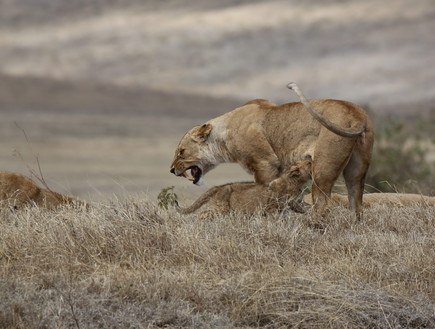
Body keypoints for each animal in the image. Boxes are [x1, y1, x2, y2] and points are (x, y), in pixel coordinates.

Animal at [177, 159, 314, 218]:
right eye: (308, 163)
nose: (311, 158)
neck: (297, 183)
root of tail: (217, 187)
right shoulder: (272, 207)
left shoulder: (297, 203)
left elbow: (307, 208)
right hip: (221, 209)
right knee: (203, 213)